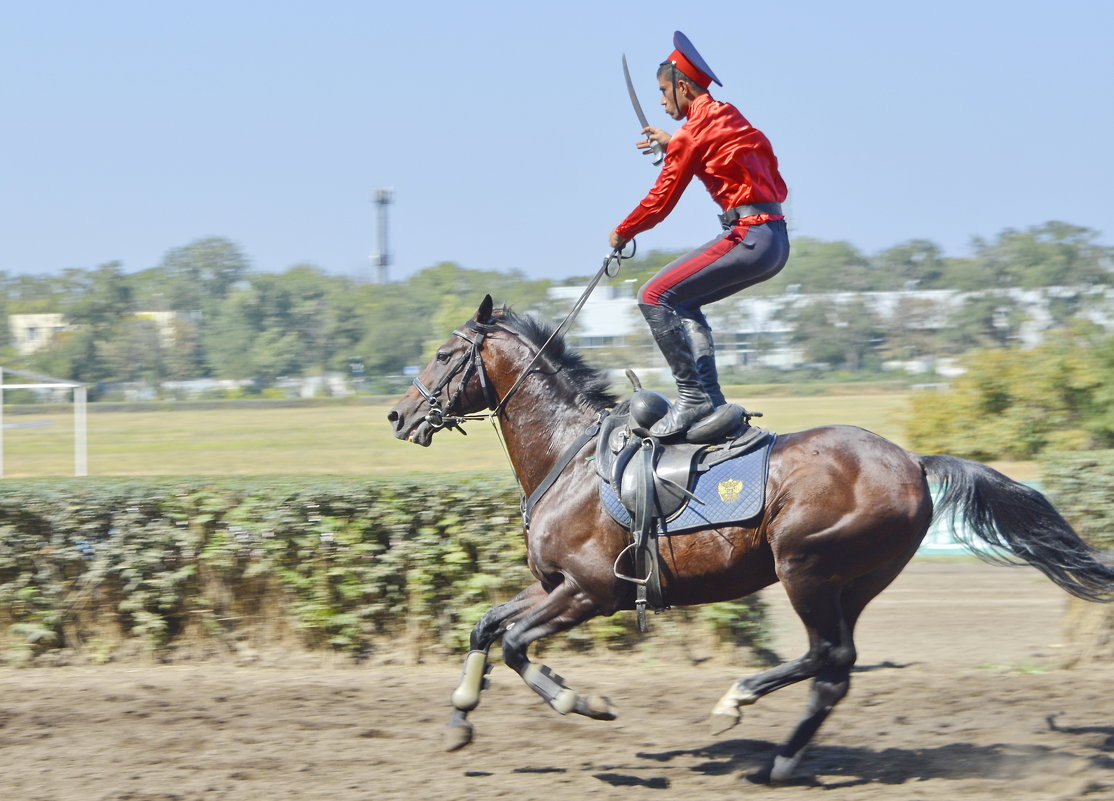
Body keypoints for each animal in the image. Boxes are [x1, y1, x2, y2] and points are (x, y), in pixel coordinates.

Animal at [385, 294, 1114, 784]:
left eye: (446, 354)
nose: (398, 413)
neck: (569, 457)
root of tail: (912, 460)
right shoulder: (555, 585)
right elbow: (485, 626)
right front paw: (460, 718)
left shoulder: (592, 592)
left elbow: (514, 643)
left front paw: (581, 699)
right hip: (856, 581)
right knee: (835, 669)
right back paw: (783, 758)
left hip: (806, 568)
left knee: (827, 655)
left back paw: (741, 704)